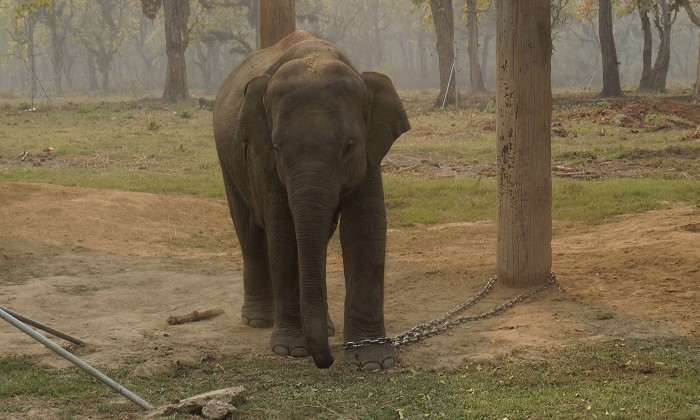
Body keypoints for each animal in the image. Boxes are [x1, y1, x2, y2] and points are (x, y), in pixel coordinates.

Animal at [213, 30, 410, 370]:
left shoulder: (370, 152)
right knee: (250, 234)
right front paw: (291, 350)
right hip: (229, 161)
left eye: (349, 146)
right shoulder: (261, 158)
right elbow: (284, 232)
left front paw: (372, 361)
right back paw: (258, 320)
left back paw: (325, 328)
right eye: (278, 148)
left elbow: (365, 228)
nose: (326, 361)